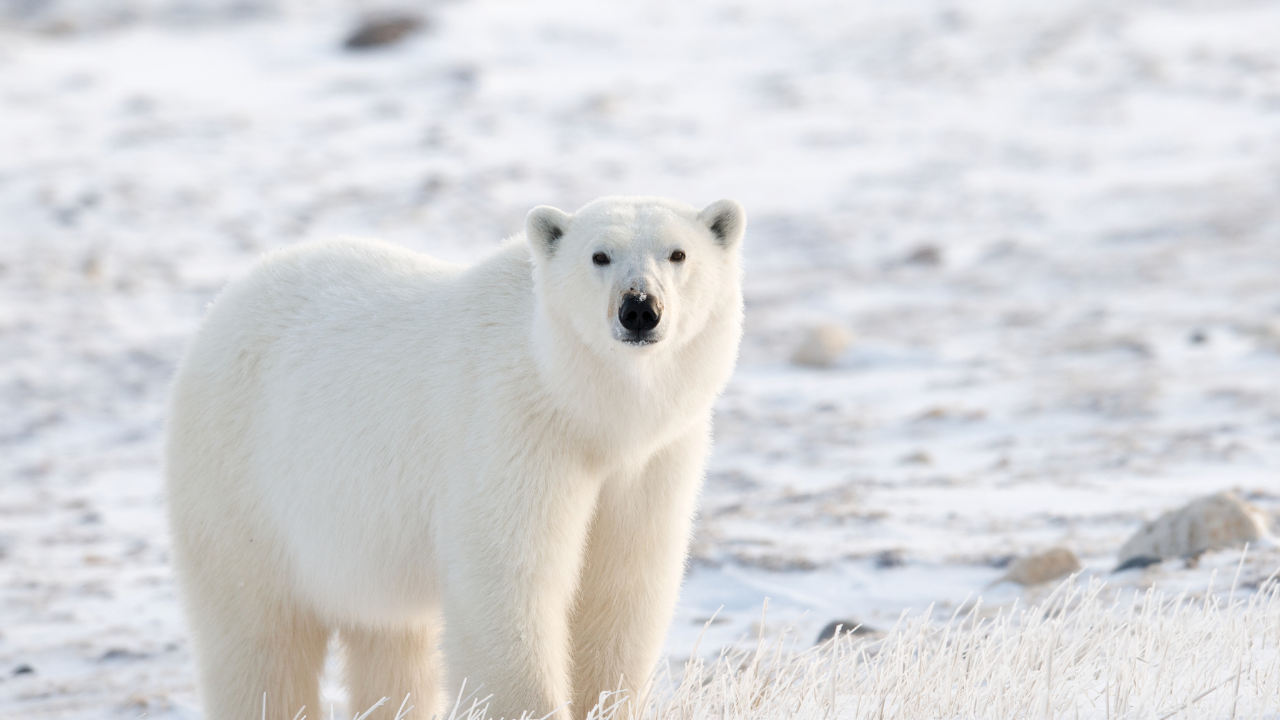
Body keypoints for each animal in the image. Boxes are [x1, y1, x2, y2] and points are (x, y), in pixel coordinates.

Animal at [165, 196, 746, 720]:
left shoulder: (652, 460)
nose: (639, 308)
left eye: (678, 253)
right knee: (259, 638)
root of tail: (225, 302)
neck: (585, 408)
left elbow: (621, 588)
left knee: (392, 644)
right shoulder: (511, 430)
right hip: (242, 487)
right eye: (599, 255)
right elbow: (510, 583)